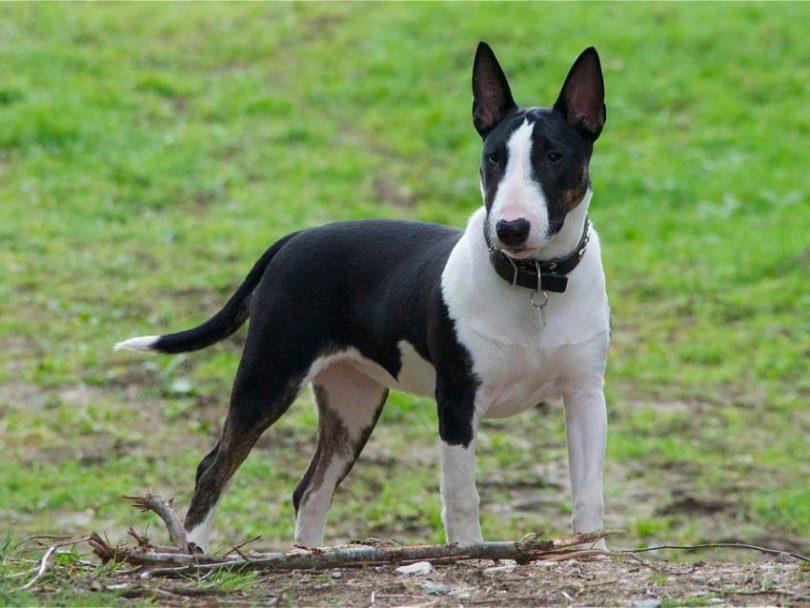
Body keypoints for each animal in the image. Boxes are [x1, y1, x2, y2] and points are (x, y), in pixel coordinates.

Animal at [113, 42, 608, 552]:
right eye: (493, 157)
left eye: (554, 155)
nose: (510, 229)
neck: (536, 283)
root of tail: (294, 239)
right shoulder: (456, 402)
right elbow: (461, 498)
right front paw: (471, 552)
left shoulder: (586, 395)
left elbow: (589, 492)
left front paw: (594, 551)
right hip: (269, 375)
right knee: (214, 467)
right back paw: (194, 551)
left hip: (353, 399)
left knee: (311, 489)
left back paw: (308, 555)